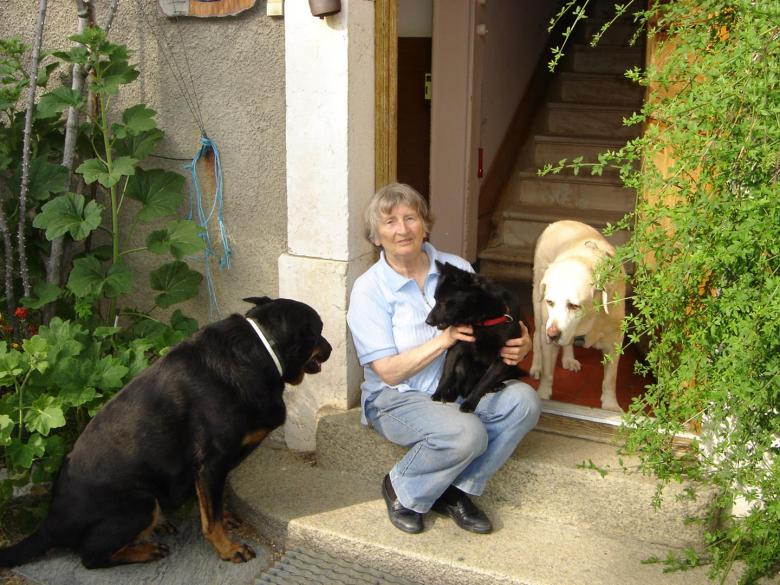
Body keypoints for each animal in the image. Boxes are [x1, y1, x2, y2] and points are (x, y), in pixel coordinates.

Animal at [0, 296, 330, 564]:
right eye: (320, 328)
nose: (329, 348)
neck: (262, 349)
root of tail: (50, 523)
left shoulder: (209, 472)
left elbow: (212, 504)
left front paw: (225, 519)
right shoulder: (212, 463)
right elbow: (211, 518)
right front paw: (228, 549)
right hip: (141, 501)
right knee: (92, 556)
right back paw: (145, 550)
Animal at [424, 262, 528, 412]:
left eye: (443, 301)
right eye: (435, 299)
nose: (428, 321)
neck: (482, 321)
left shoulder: (504, 358)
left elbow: (483, 382)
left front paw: (469, 404)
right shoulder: (455, 348)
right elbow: (446, 373)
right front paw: (438, 393)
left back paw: (495, 386)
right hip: (463, 364)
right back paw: (450, 395)